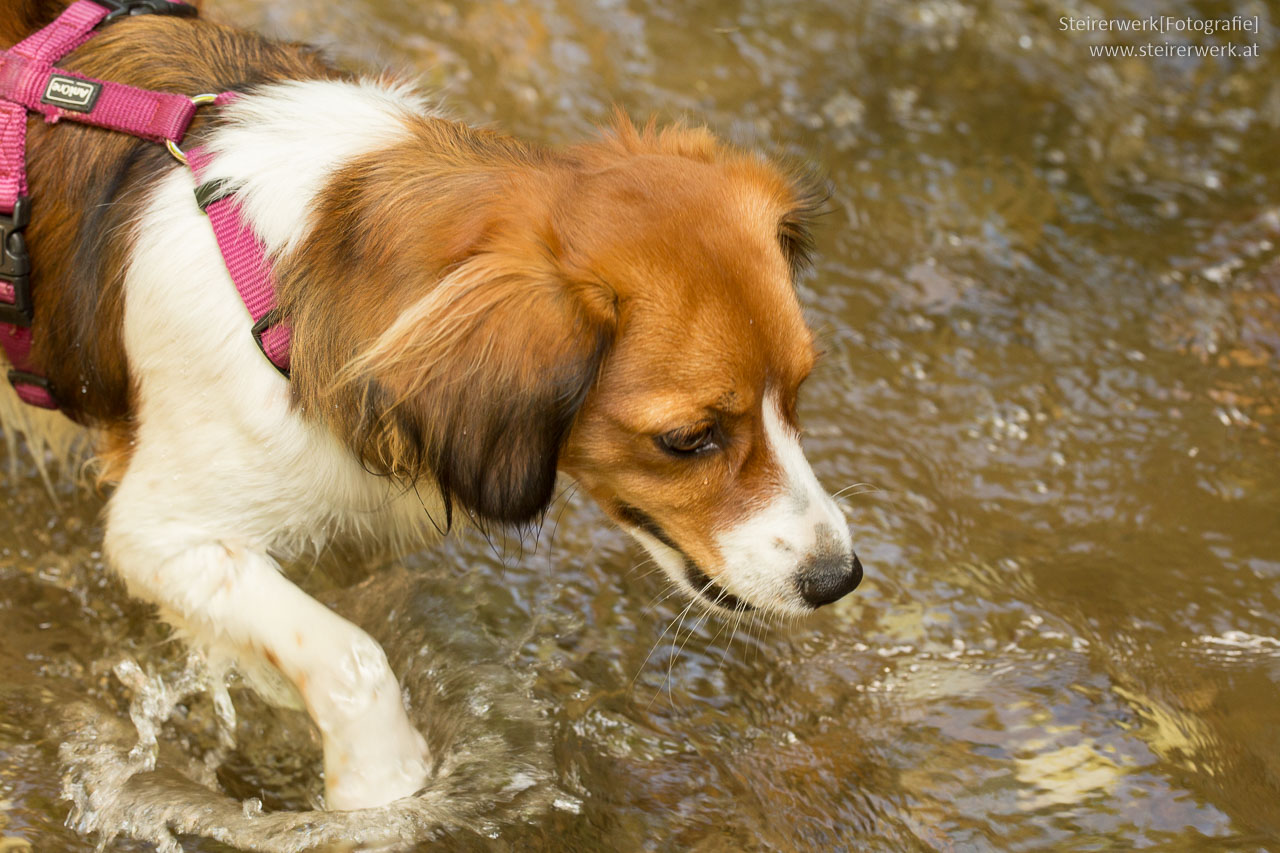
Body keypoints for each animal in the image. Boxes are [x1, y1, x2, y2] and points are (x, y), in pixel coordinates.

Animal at [0, 0, 865, 809]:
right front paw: (382, 786)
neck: (296, 290)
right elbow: (349, 654)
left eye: (799, 391)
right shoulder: (161, 533)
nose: (839, 577)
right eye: (688, 438)